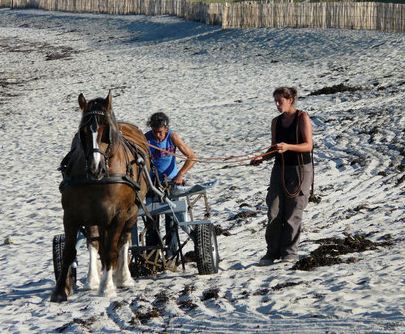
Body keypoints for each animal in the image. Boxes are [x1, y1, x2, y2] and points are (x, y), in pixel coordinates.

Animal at [51, 90, 150, 302]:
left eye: (106, 130)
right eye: (83, 132)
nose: (95, 168)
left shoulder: (119, 215)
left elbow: (112, 248)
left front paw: (107, 286)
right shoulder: (71, 215)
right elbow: (69, 250)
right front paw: (60, 290)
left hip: (132, 211)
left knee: (122, 241)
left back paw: (122, 277)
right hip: (94, 217)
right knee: (94, 243)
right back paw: (93, 279)